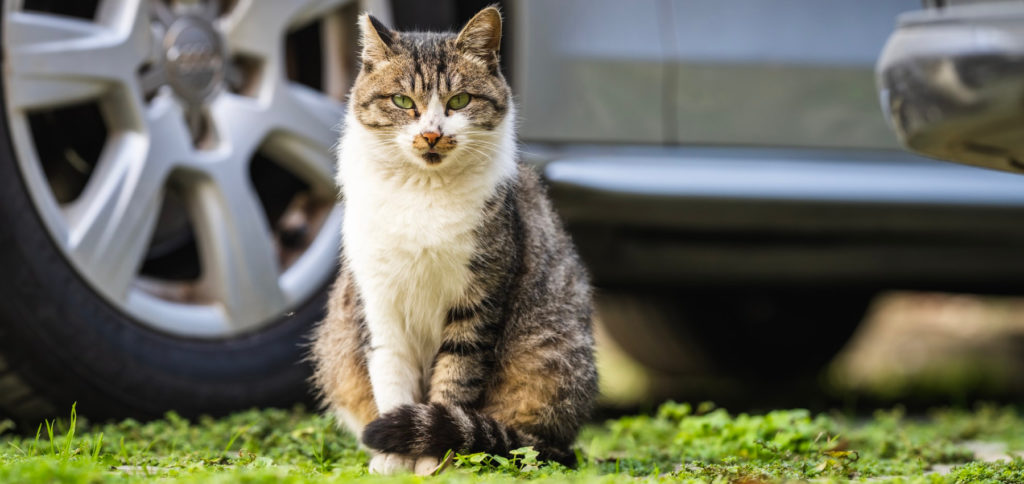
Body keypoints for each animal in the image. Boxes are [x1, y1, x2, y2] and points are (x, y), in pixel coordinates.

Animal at [311, 6, 598, 474]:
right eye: (402, 101)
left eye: (459, 101)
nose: (431, 134)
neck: (422, 191)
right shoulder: (379, 303)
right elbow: (391, 379)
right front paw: (394, 459)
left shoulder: (478, 300)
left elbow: (454, 381)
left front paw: (434, 460)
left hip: (549, 366)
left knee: (531, 445)